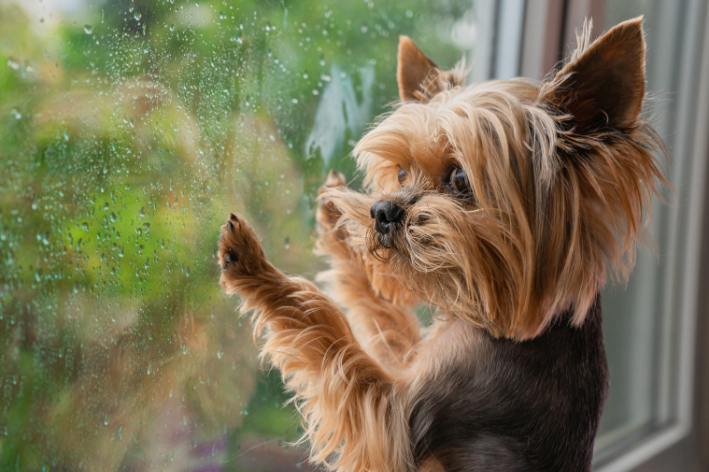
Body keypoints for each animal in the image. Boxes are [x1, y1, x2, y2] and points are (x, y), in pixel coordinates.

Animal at [218, 17, 668, 472]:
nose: (381, 211)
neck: (498, 320)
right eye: (400, 173)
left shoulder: (399, 419)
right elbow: (384, 317)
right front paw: (338, 223)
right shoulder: (414, 358)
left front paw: (257, 269)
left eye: (460, 179)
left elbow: (331, 335)